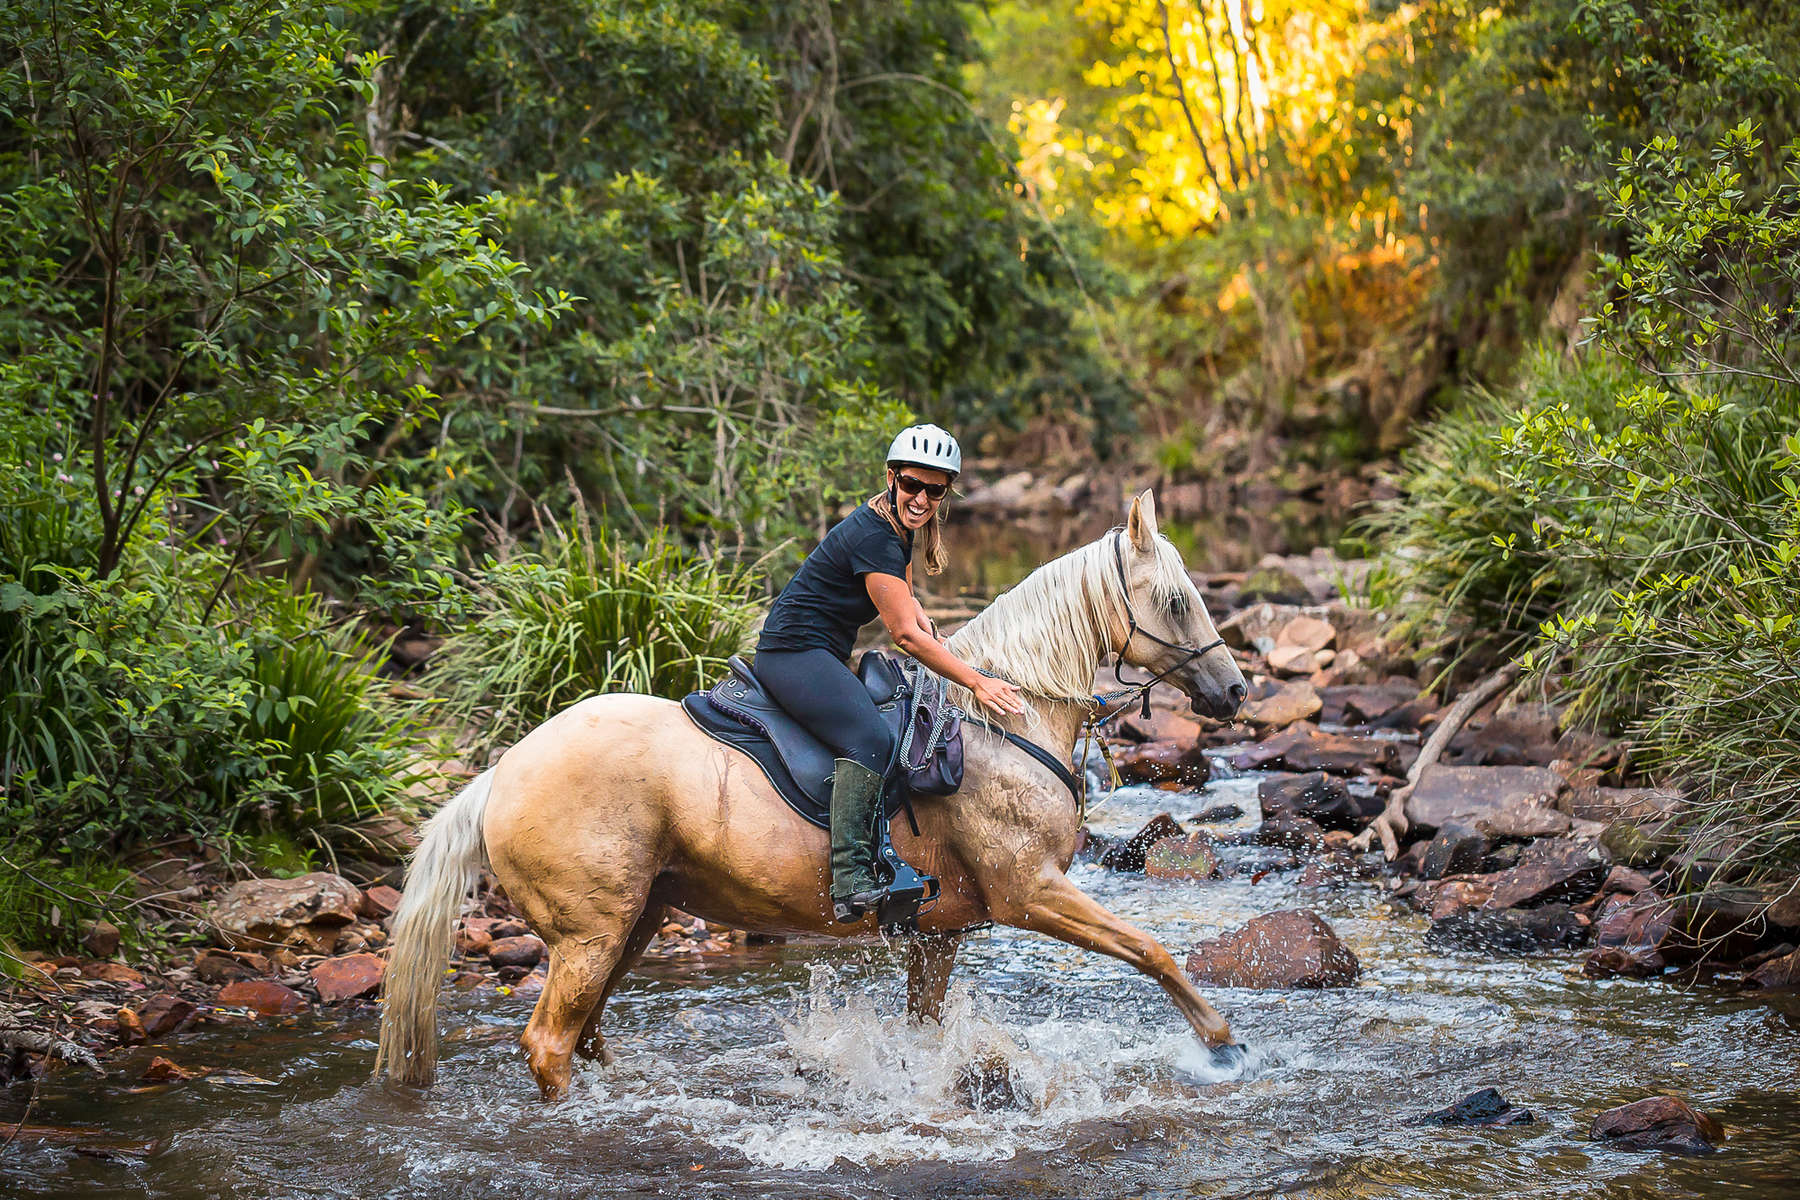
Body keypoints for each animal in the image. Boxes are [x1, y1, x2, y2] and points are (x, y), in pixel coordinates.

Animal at [376, 489, 1252, 1101]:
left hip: (632, 920)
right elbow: (1151, 948)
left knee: (583, 1034)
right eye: (1177, 600)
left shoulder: (941, 931)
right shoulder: (1029, 891)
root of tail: (501, 771)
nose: (1236, 690)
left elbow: (927, 1029)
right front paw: (1222, 1044)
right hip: (590, 932)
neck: (1004, 721)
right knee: (550, 1045)